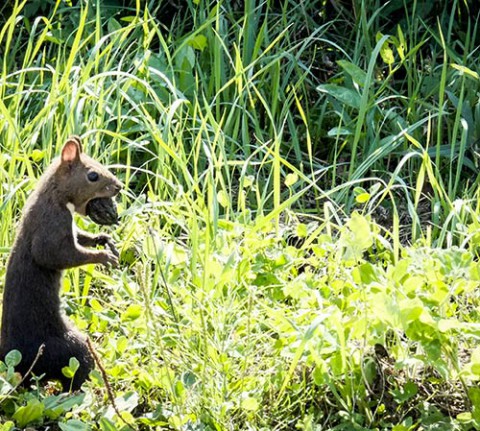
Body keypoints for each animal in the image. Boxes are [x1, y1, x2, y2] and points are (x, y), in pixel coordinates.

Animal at [0, 138, 122, 392]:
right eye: (93, 175)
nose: (119, 186)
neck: (53, 196)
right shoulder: (51, 226)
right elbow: (55, 255)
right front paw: (104, 257)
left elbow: (80, 237)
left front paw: (103, 239)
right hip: (71, 348)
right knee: (75, 373)